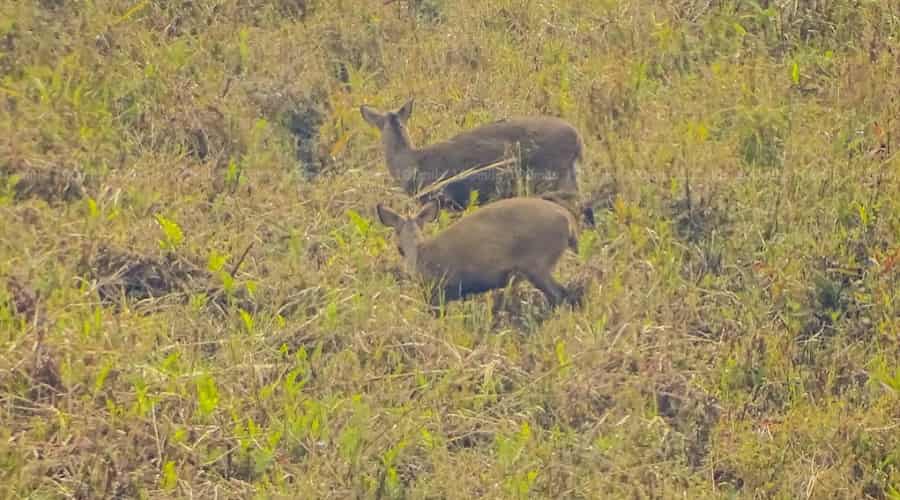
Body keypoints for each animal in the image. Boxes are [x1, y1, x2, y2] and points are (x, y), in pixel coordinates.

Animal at [375, 196, 581, 311]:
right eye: (399, 245)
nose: (402, 250)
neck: (421, 253)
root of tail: (569, 221)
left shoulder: (441, 290)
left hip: (537, 266)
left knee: (560, 294)